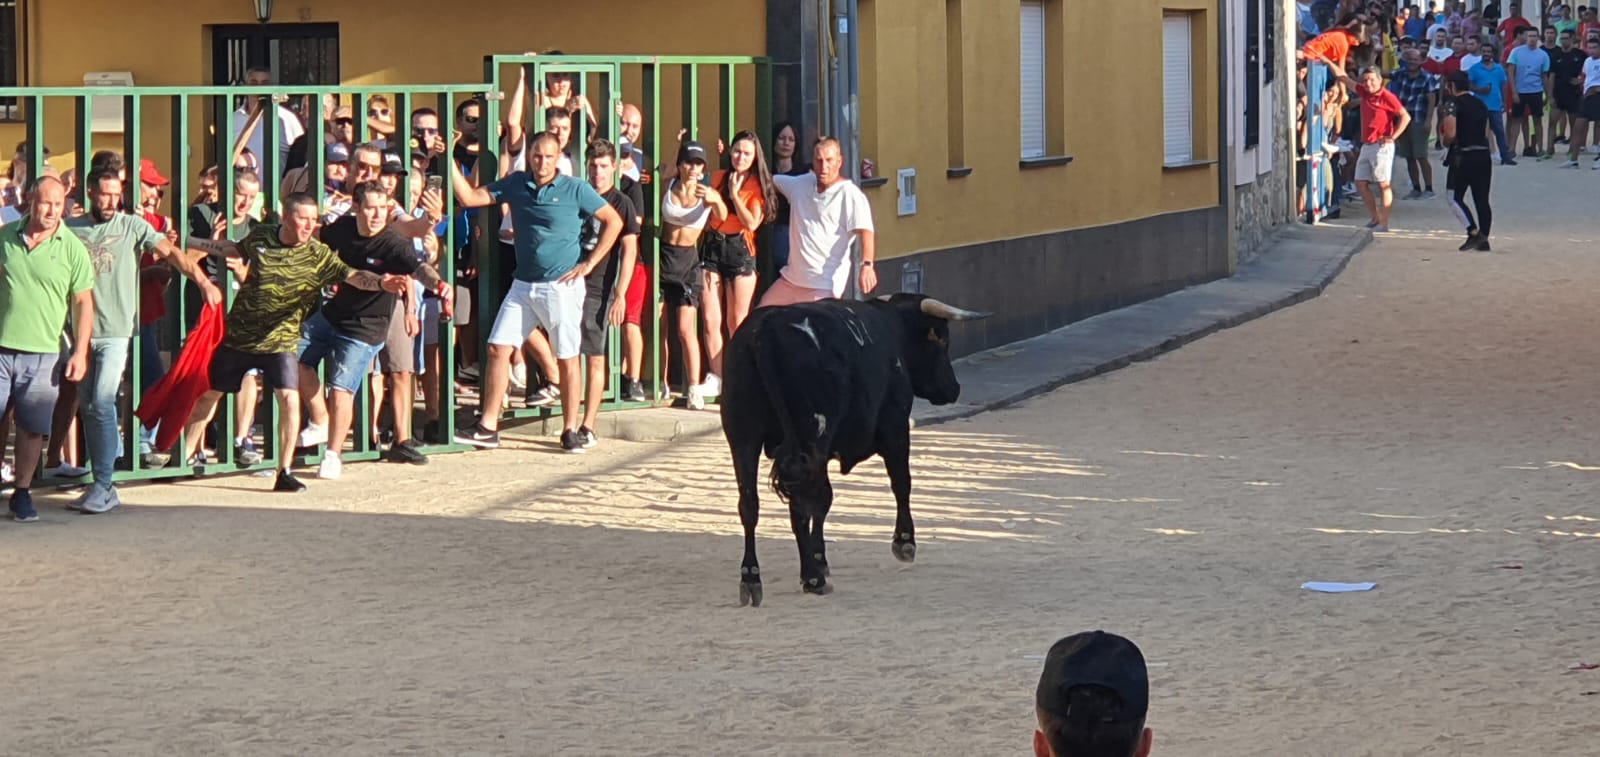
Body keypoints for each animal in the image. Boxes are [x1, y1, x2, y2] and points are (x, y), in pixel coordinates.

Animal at [723, 292, 985, 604]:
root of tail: (765, 328)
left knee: (750, 504)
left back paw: (751, 577)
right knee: (803, 503)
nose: (954, 388)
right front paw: (904, 542)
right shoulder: (896, 427)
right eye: (942, 340)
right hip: (809, 439)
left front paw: (820, 559)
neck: (892, 327)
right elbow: (901, 483)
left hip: (743, 437)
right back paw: (812, 577)